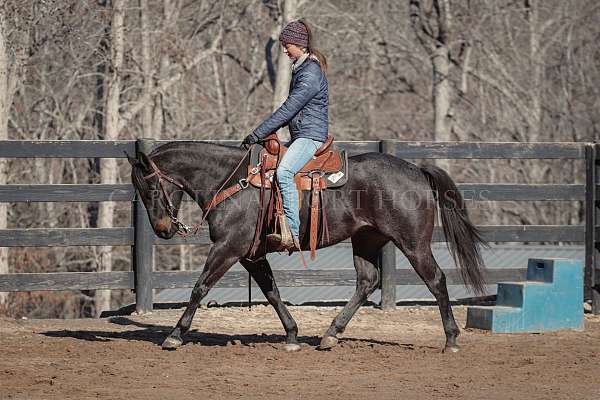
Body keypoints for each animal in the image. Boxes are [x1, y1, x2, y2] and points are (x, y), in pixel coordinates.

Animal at [127, 141, 488, 354]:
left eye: (149, 187)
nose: (163, 229)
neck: (233, 181)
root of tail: (417, 171)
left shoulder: (228, 248)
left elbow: (200, 287)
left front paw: (175, 335)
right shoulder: (252, 255)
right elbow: (271, 292)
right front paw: (291, 335)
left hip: (413, 244)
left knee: (436, 280)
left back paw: (451, 340)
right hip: (366, 240)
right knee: (366, 281)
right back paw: (331, 333)